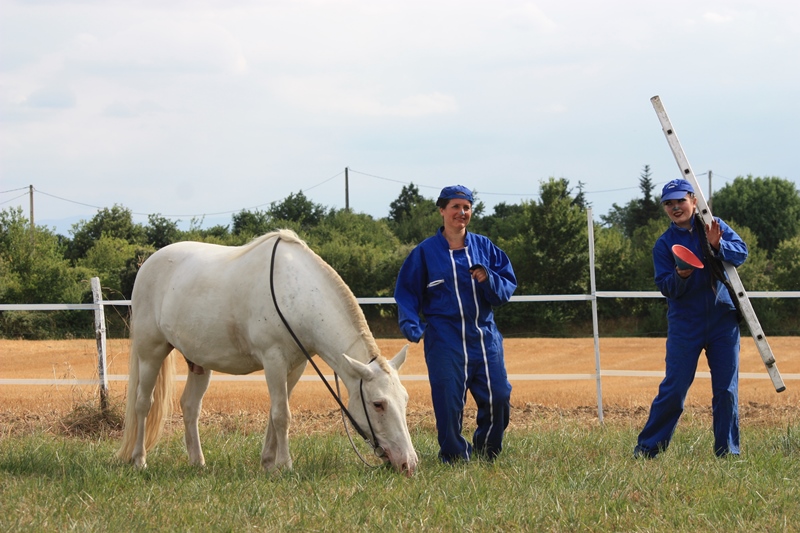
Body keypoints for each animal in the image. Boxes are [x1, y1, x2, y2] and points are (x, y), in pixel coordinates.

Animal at [120, 229, 418, 474]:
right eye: (378, 404)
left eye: (405, 399)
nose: (409, 464)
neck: (295, 294)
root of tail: (148, 264)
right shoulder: (273, 360)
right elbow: (281, 415)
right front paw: (285, 465)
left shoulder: (295, 367)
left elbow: (276, 415)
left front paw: (268, 463)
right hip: (150, 352)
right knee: (143, 404)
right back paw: (139, 460)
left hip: (199, 362)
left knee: (190, 406)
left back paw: (198, 462)